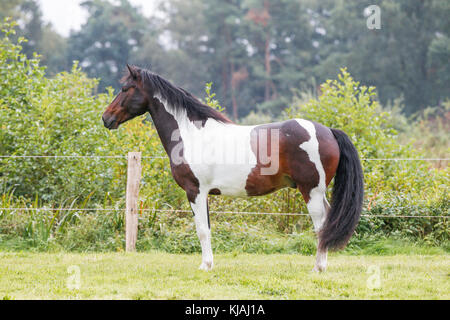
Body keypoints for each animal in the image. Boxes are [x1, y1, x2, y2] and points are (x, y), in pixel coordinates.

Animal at [102, 65, 362, 272]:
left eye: (125, 88)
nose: (106, 118)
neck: (190, 133)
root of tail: (328, 131)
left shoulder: (195, 191)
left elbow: (202, 230)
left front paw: (205, 266)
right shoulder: (203, 194)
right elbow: (207, 228)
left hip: (311, 191)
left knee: (321, 225)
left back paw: (318, 268)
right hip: (317, 192)